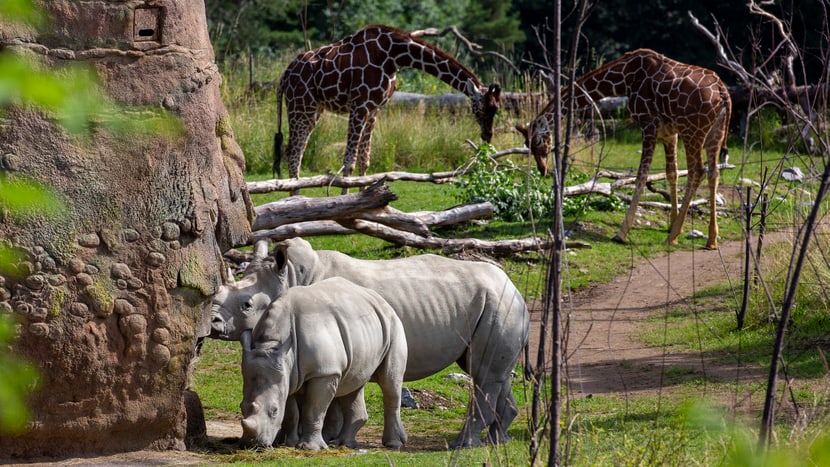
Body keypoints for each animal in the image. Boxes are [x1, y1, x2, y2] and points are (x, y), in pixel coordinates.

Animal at [239, 276, 408, 452]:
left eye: (274, 411)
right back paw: (343, 444)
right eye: (241, 407)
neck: (270, 344)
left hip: (394, 324)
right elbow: (290, 413)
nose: (253, 445)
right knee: (353, 383)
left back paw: (393, 445)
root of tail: (380, 299)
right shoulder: (287, 374)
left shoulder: (325, 372)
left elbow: (313, 410)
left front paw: (309, 448)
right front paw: (288, 443)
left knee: (389, 382)